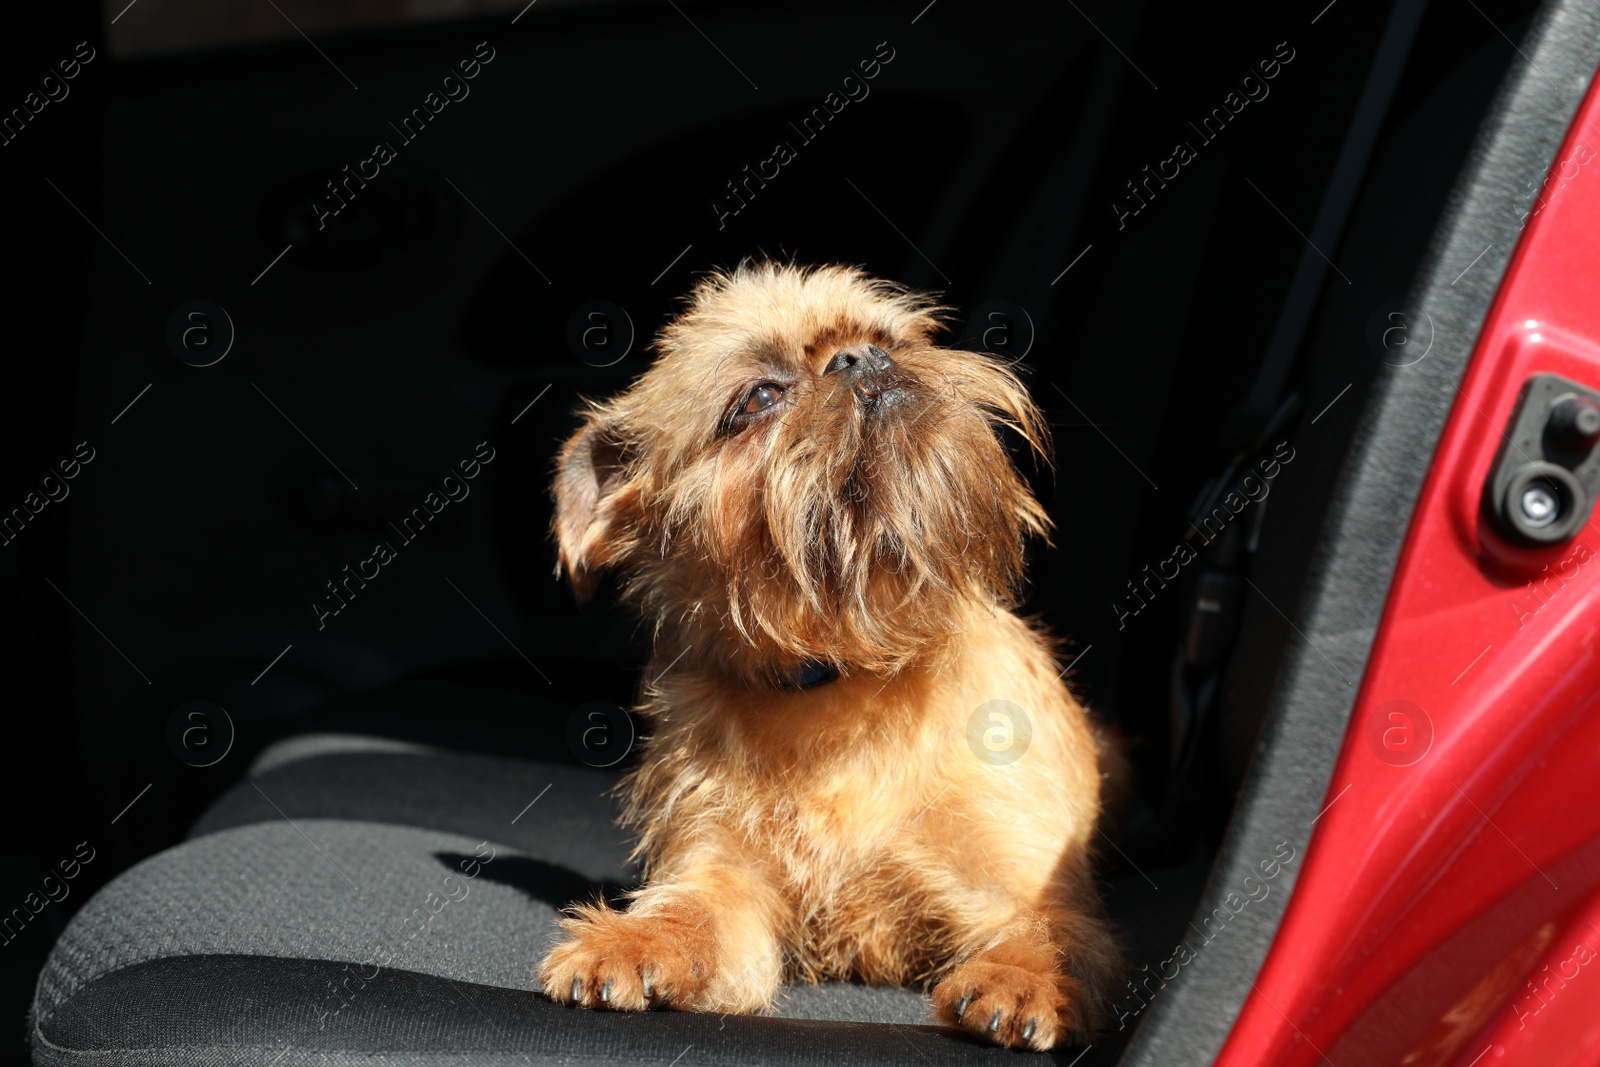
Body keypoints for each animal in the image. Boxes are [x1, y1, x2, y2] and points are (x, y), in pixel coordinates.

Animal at [537, 260, 1126, 1049]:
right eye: (758, 398)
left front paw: (1023, 980)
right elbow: (689, 912)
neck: (851, 672)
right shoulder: (725, 881)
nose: (860, 359)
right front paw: (635, 941)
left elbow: (1049, 932)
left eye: (891, 340)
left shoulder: (1023, 883)